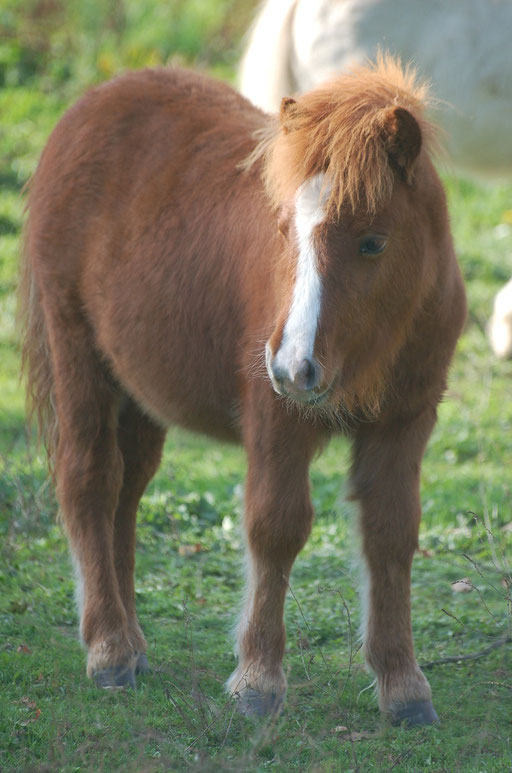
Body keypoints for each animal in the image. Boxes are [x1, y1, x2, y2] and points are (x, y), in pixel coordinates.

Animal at [19, 58, 468, 724]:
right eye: (284, 230)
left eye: (373, 241)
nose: (291, 368)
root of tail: (90, 105)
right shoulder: (277, 421)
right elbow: (275, 527)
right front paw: (257, 681)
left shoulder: (404, 422)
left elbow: (391, 533)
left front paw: (403, 686)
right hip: (77, 354)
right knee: (89, 481)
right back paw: (108, 651)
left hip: (139, 392)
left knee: (127, 492)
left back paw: (133, 644)